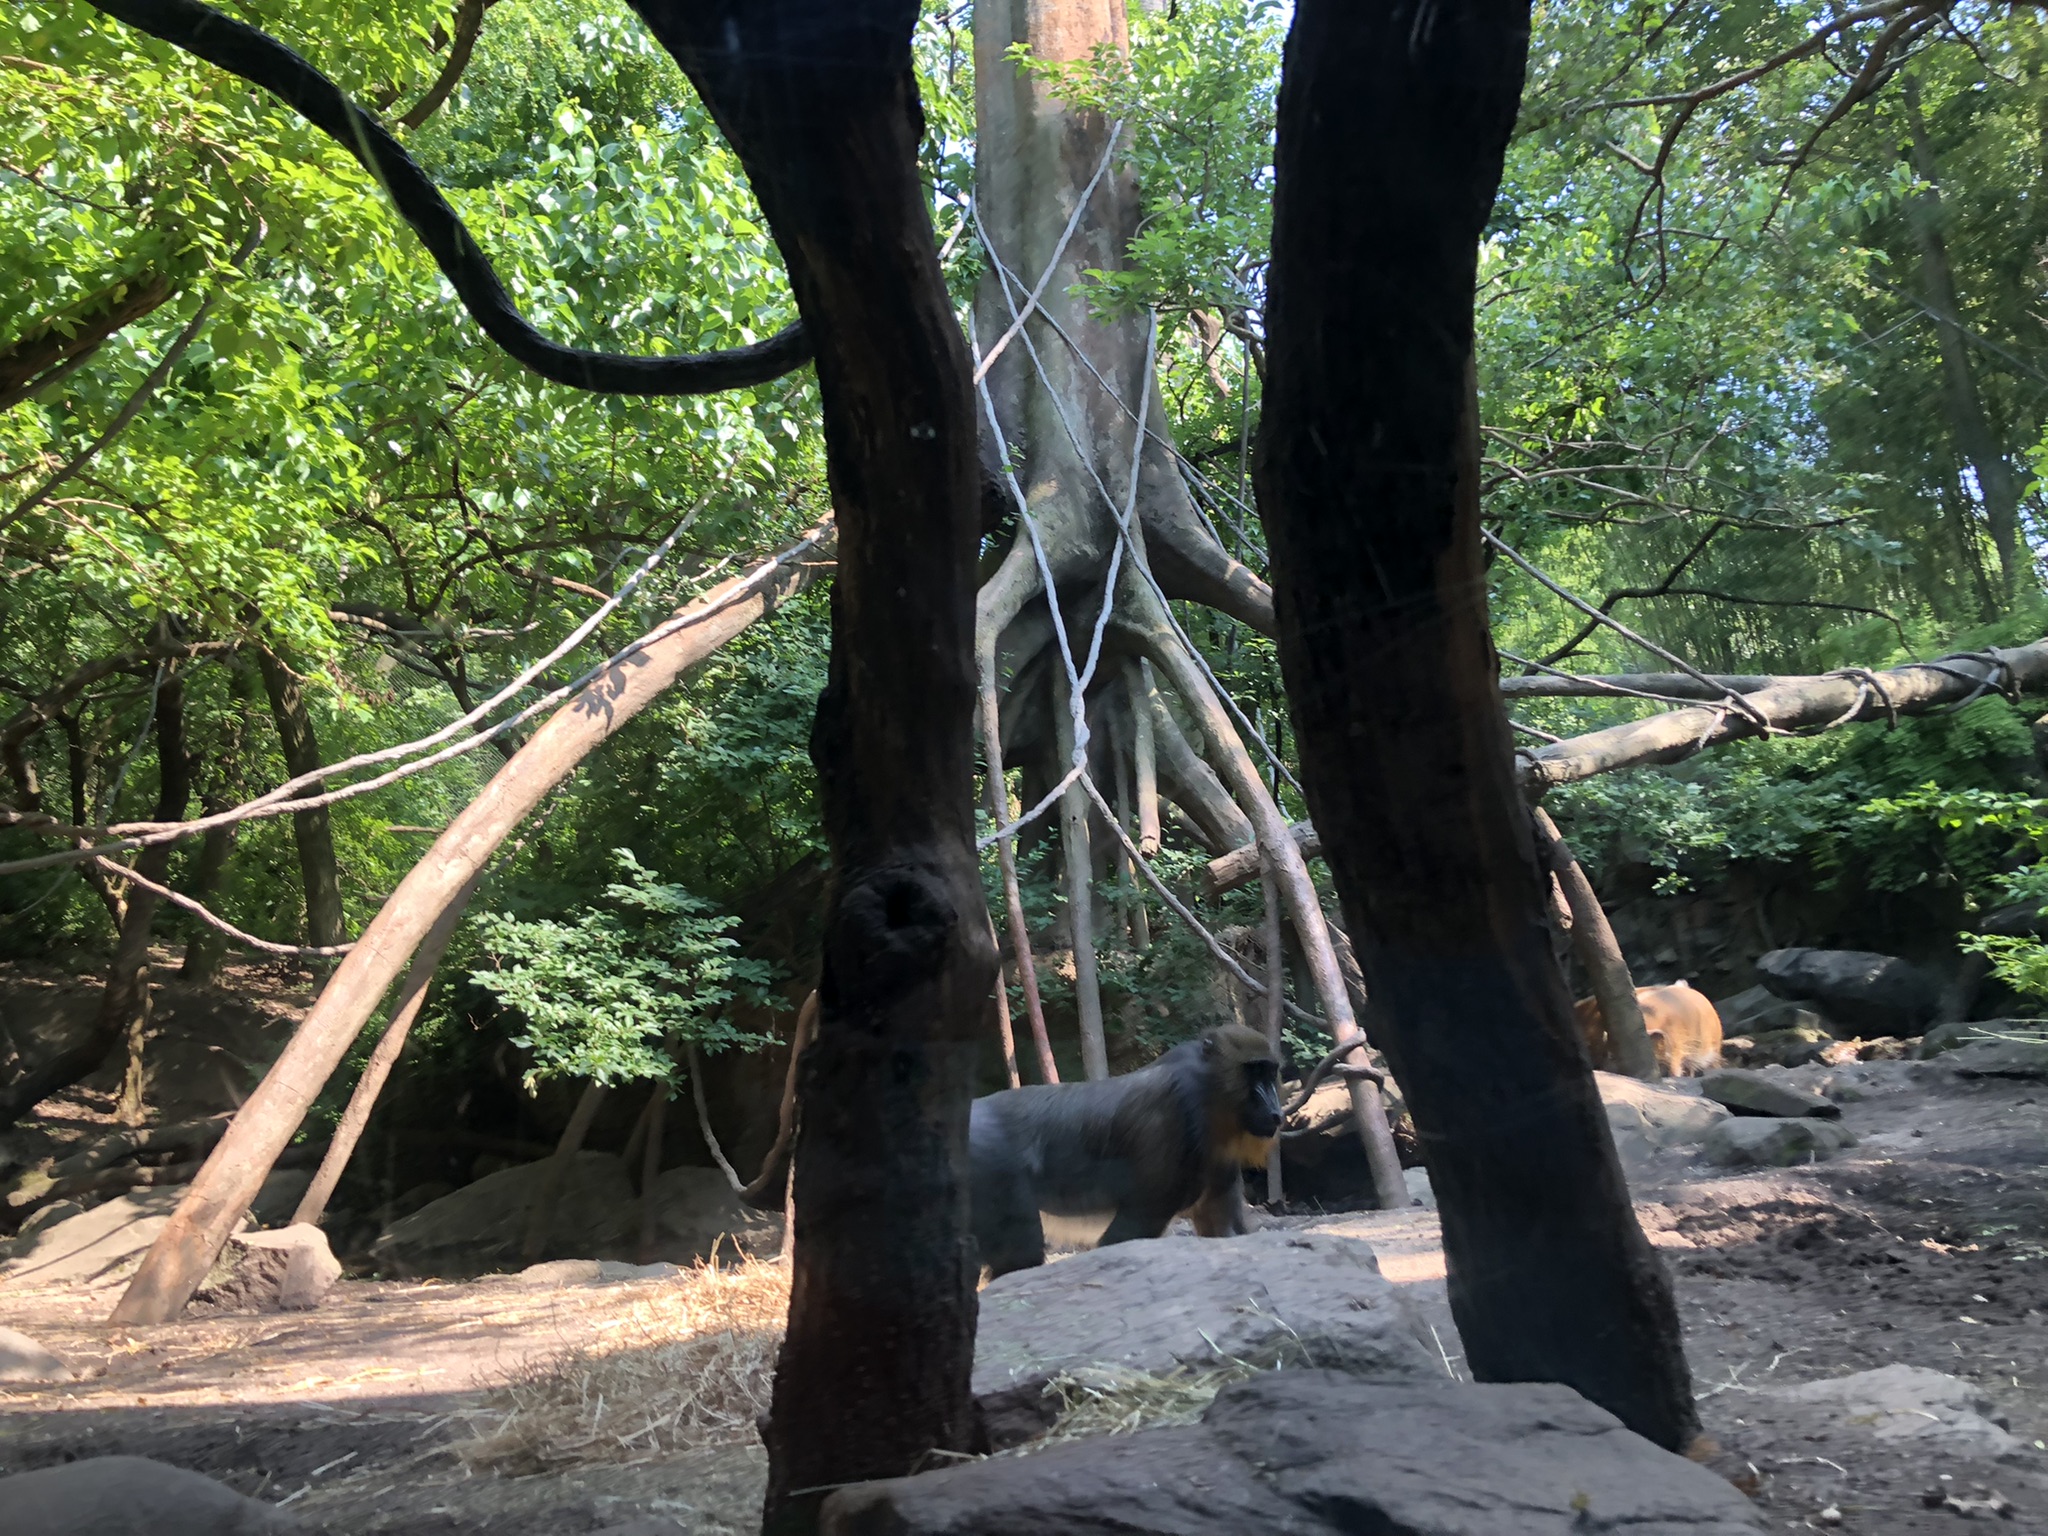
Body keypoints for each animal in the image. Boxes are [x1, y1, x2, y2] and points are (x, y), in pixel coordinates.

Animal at [967, 1023, 1282, 1279]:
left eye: (1270, 1073)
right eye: (1254, 1071)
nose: (1276, 1112)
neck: (1209, 1092)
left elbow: (1225, 1233)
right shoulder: (1168, 1124)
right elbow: (1125, 1233)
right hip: (995, 1175)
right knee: (1020, 1254)